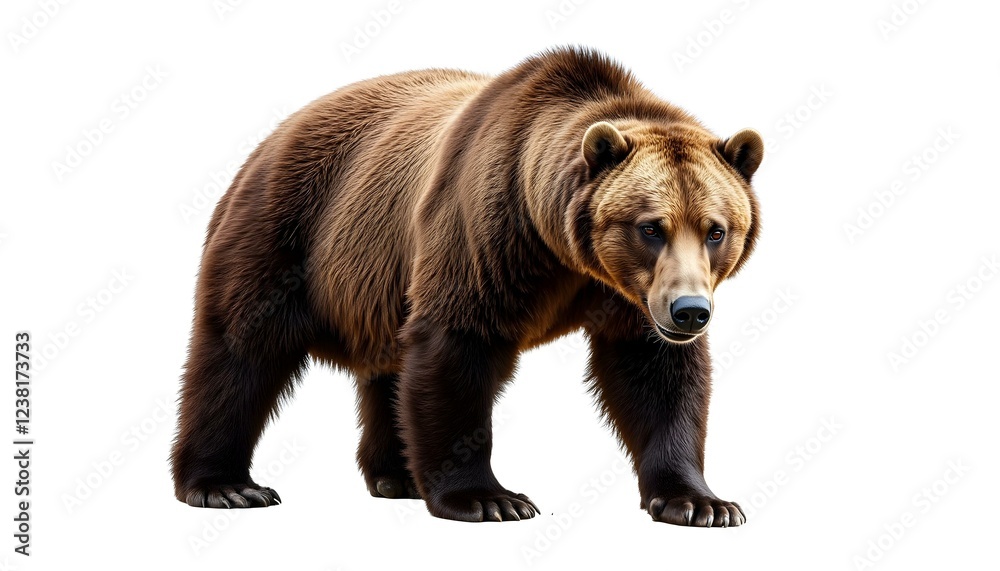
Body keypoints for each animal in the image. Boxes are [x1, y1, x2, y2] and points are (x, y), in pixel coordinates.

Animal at [171, 47, 763, 527]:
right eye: (650, 227)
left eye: (715, 230)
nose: (690, 311)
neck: (562, 253)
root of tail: (274, 135)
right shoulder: (485, 232)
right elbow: (456, 348)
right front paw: (487, 498)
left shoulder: (627, 300)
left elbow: (658, 376)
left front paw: (700, 502)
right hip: (289, 233)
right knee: (239, 350)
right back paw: (224, 485)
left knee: (389, 369)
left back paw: (396, 475)